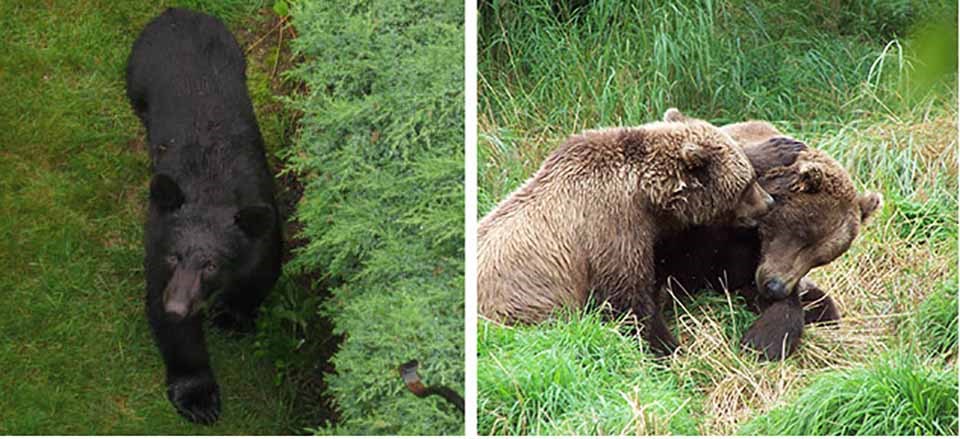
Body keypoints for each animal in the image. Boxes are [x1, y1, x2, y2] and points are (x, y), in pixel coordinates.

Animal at [125, 7, 282, 426]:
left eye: (212, 264)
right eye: (173, 256)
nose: (178, 306)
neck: (213, 192)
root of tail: (177, 12)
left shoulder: (264, 224)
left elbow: (262, 272)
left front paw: (231, 317)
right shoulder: (156, 244)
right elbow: (174, 330)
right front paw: (198, 398)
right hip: (136, 74)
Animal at [476, 113, 776, 354]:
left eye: (750, 177)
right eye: (747, 183)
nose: (769, 202)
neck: (647, 197)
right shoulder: (613, 228)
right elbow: (628, 299)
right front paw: (667, 346)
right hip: (524, 306)